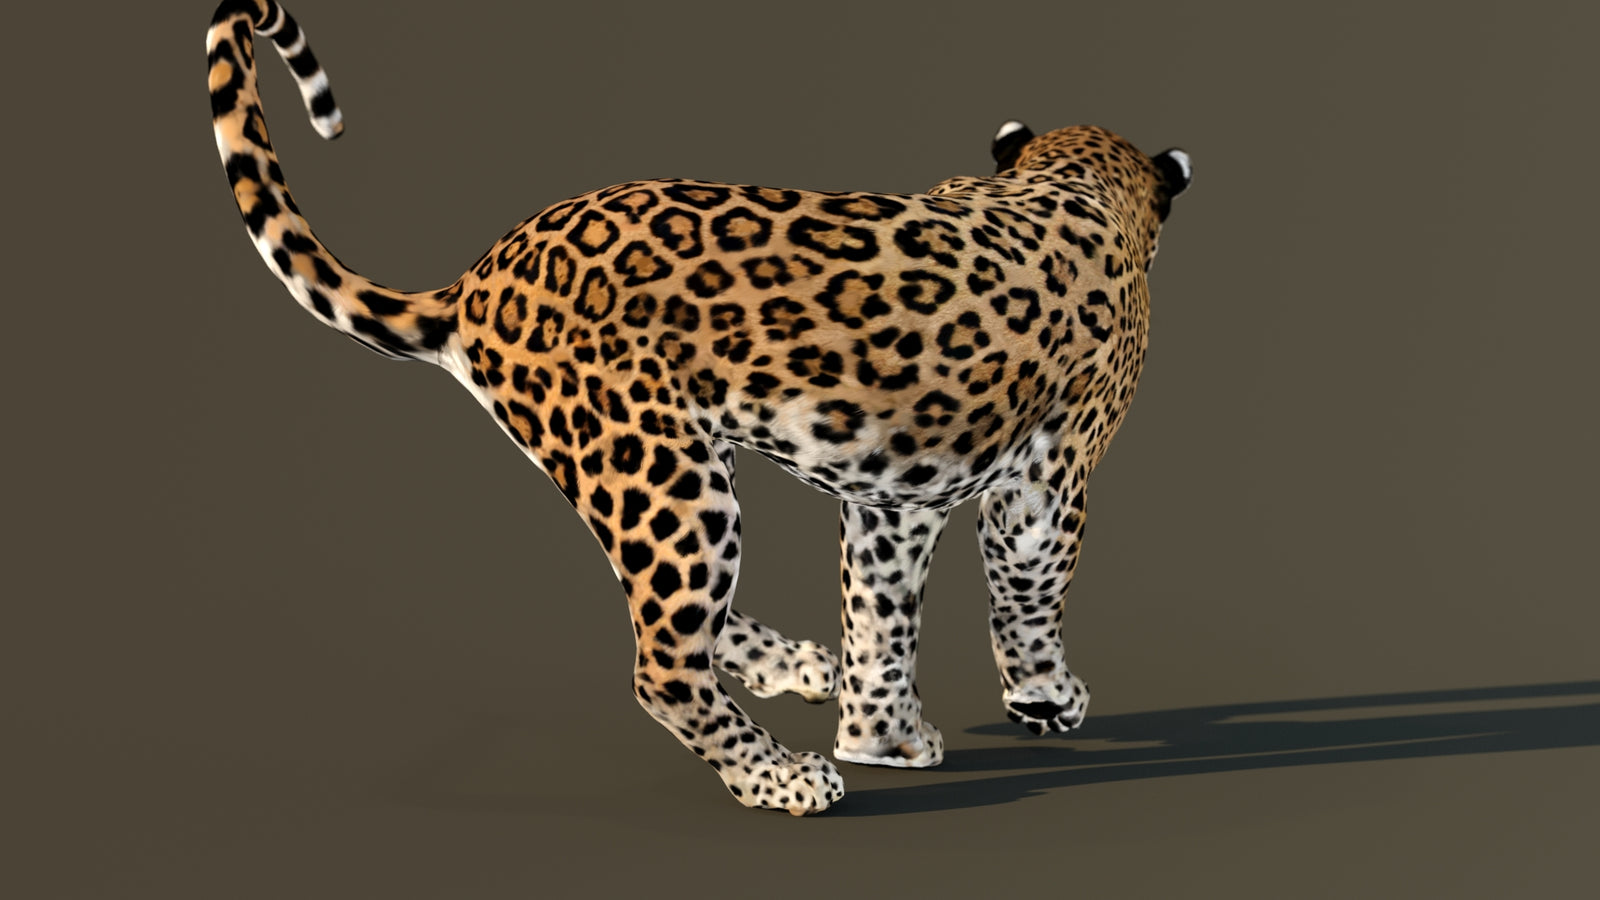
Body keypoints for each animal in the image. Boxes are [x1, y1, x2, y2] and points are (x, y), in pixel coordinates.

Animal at [205, 0, 1191, 815]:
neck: (1074, 175)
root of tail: (480, 279)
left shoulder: (891, 499)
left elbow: (881, 610)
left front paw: (882, 736)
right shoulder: (1048, 478)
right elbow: (1028, 589)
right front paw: (1045, 697)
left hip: (638, 473)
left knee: (680, 616)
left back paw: (801, 667)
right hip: (663, 473)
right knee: (663, 662)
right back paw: (783, 778)